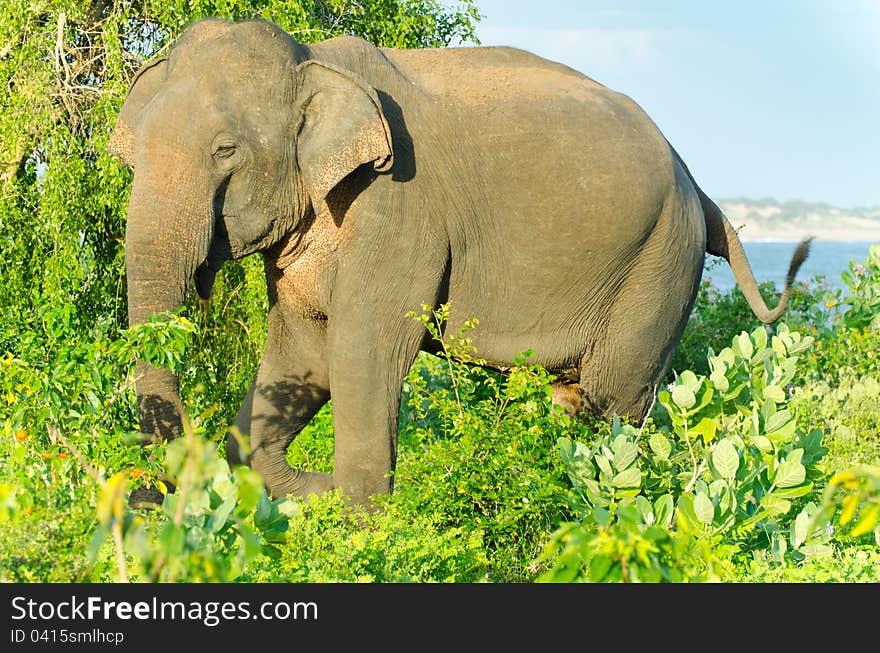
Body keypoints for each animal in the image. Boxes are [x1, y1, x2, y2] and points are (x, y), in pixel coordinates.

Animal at [108, 14, 812, 504]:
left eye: (225, 150)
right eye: (133, 152)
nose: (152, 496)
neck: (314, 61)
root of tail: (697, 185)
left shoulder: (401, 209)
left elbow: (361, 352)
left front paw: (361, 525)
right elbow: (303, 356)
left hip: (661, 260)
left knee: (615, 400)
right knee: (574, 399)